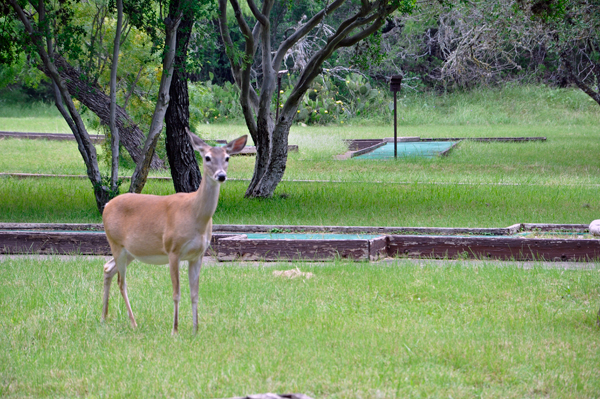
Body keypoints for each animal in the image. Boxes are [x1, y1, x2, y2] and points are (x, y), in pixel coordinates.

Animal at [102, 131, 247, 334]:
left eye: (227, 158)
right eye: (207, 157)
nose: (221, 176)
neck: (194, 215)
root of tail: (106, 205)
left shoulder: (198, 254)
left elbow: (195, 293)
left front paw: (195, 330)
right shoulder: (173, 249)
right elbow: (176, 293)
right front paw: (175, 330)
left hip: (130, 250)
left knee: (108, 268)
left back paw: (103, 318)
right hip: (115, 242)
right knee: (122, 282)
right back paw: (133, 322)